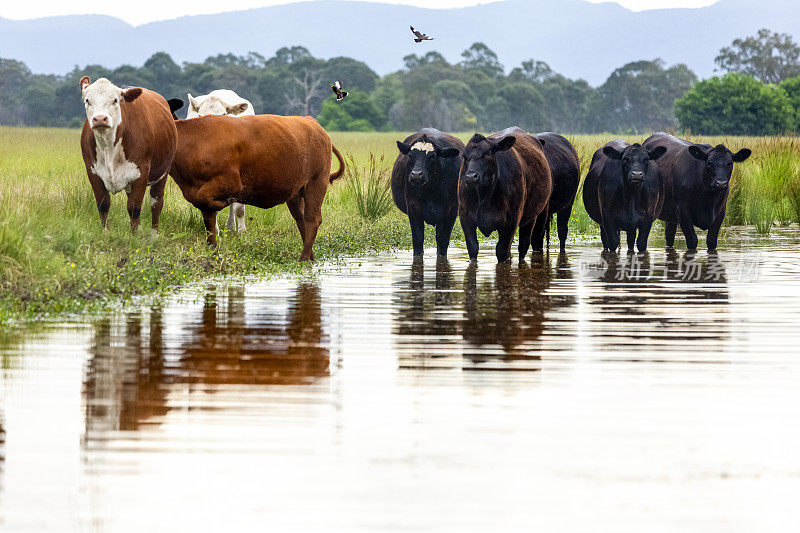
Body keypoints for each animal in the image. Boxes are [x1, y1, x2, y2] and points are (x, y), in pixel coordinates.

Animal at [78, 76, 178, 233]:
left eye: (115, 100)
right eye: (87, 100)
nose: (100, 118)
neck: (108, 147)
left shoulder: (141, 172)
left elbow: (134, 208)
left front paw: (133, 235)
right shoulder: (93, 172)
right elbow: (103, 205)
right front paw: (105, 233)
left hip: (163, 173)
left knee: (156, 203)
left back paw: (153, 233)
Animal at [169, 114, 344, 260]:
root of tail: (312, 122)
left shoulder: (230, 181)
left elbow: (205, 199)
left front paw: (223, 204)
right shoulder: (197, 193)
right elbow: (209, 223)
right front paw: (213, 251)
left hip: (316, 182)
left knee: (312, 219)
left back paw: (304, 258)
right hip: (296, 193)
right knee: (301, 220)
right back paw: (310, 255)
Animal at [185, 88, 255, 232]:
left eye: (224, 114)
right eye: (200, 116)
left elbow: (239, 208)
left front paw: (242, 231)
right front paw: (214, 231)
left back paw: (231, 226)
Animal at [392, 127, 462, 256]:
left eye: (432, 156)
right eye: (410, 155)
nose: (416, 174)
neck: (432, 191)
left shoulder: (452, 211)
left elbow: (443, 241)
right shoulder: (413, 207)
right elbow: (418, 240)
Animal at [460, 129, 552, 262]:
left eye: (487, 152)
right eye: (464, 156)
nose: (471, 176)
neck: (484, 196)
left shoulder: (511, 221)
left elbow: (502, 250)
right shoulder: (465, 218)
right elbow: (473, 248)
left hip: (537, 215)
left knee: (524, 245)